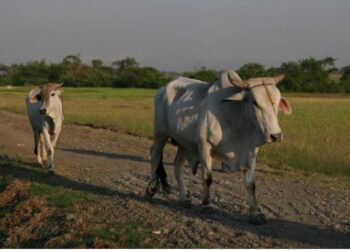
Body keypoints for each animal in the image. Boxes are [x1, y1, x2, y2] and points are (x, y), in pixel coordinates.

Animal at [145, 70, 292, 225]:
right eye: (255, 102)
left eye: (277, 101)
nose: (275, 135)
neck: (236, 116)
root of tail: (163, 88)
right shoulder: (204, 146)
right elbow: (207, 178)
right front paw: (207, 205)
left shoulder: (250, 151)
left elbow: (250, 184)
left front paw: (256, 214)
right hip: (161, 133)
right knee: (155, 154)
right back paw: (151, 189)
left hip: (184, 144)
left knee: (177, 165)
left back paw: (183, 198)